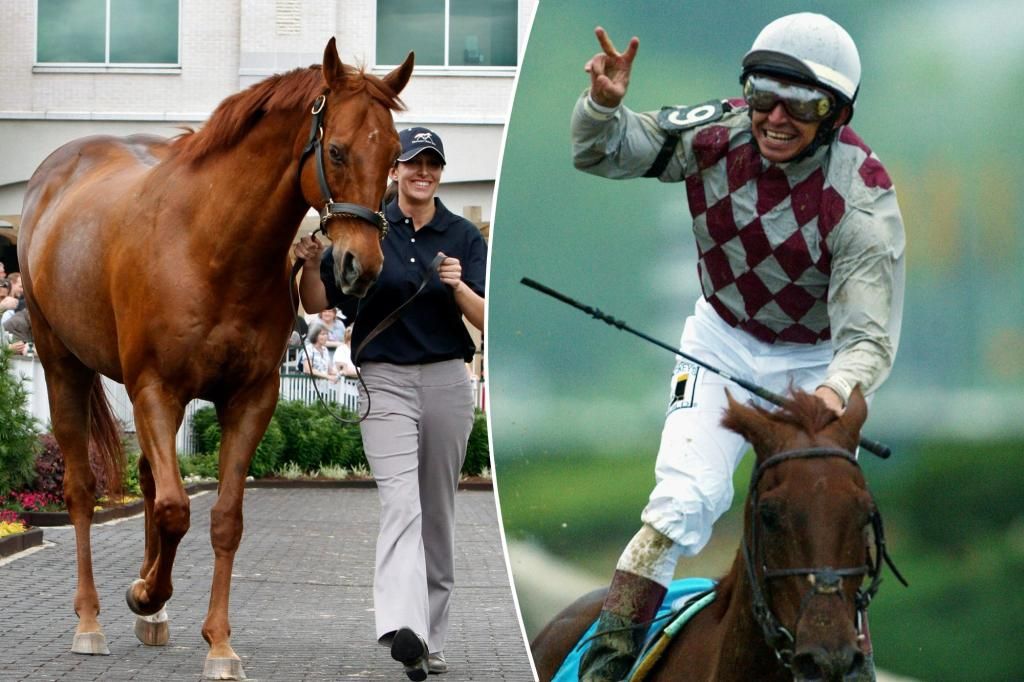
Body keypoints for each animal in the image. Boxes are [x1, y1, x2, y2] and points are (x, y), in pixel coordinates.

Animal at [18, 38, 411, 679]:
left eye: (395, 155)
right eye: (336, 149)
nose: (360, 267)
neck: (211, 246)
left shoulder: (249, 398)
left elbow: (223, 518)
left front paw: (216, 642)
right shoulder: (155, 389)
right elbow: (177, 508)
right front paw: (145, 593)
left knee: (147, 478)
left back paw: (152, 615)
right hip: (62, 366)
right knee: (82, 489)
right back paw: (91, 619)